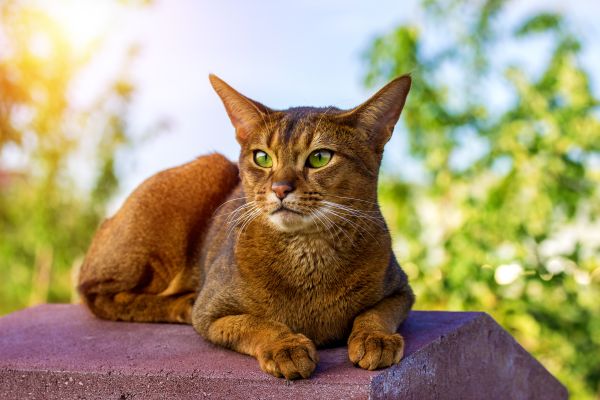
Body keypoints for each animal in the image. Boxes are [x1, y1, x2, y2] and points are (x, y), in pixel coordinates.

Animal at [77, 73, 414, 380]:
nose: (280, 189)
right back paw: (181, 304)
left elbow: (376, 312)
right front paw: (285, 346)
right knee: (96, 294)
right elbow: (254, 322)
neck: (308, 255)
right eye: (262, 157)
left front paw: (375, 338)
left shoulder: (401, 289)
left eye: (320, 157)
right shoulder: (211, 312)